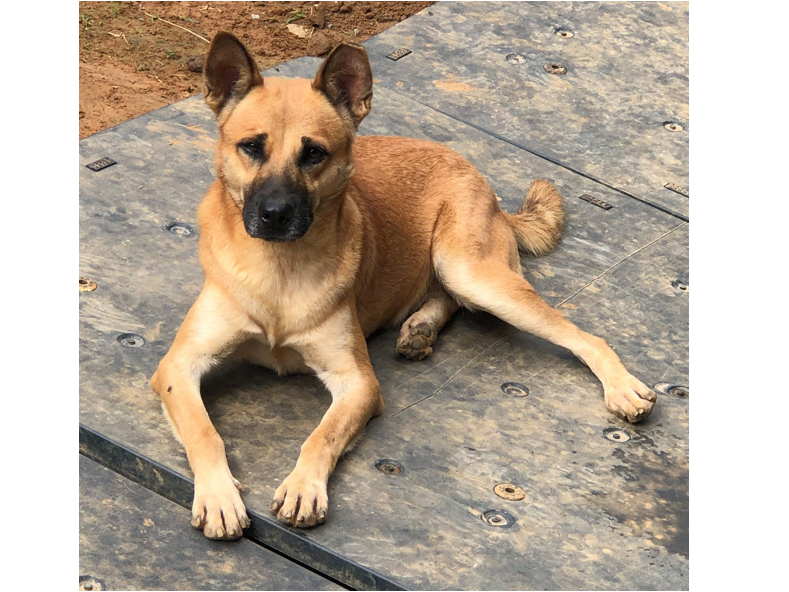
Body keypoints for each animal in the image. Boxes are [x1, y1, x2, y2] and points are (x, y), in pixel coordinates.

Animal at [151, 32, 657, 540]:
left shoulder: (358, 383)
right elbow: (204, 432)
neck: (279, 270)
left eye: (313, 153)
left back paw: (621, 388)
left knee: (583, 336)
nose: (274, 215)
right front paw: (219, 496)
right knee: (447, 297)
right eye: (251, 146)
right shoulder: (178, 366)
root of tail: (479, 177)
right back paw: (419, 329)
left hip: (471, 271)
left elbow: (321, 436)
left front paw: (302, 486)